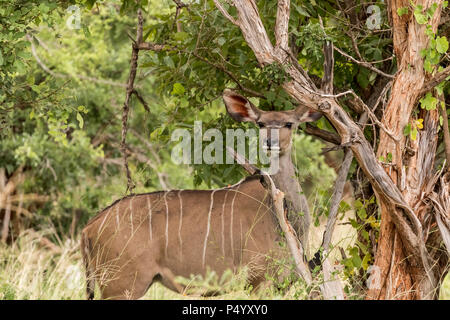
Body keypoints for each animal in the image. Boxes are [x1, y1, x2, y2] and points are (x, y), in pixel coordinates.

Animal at [81, 89, 320, 298]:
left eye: (289, 123)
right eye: (260, 123)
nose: (270, 143)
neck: (279, 213)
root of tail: (89, 227)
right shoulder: (259, 282)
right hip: (122, 286)